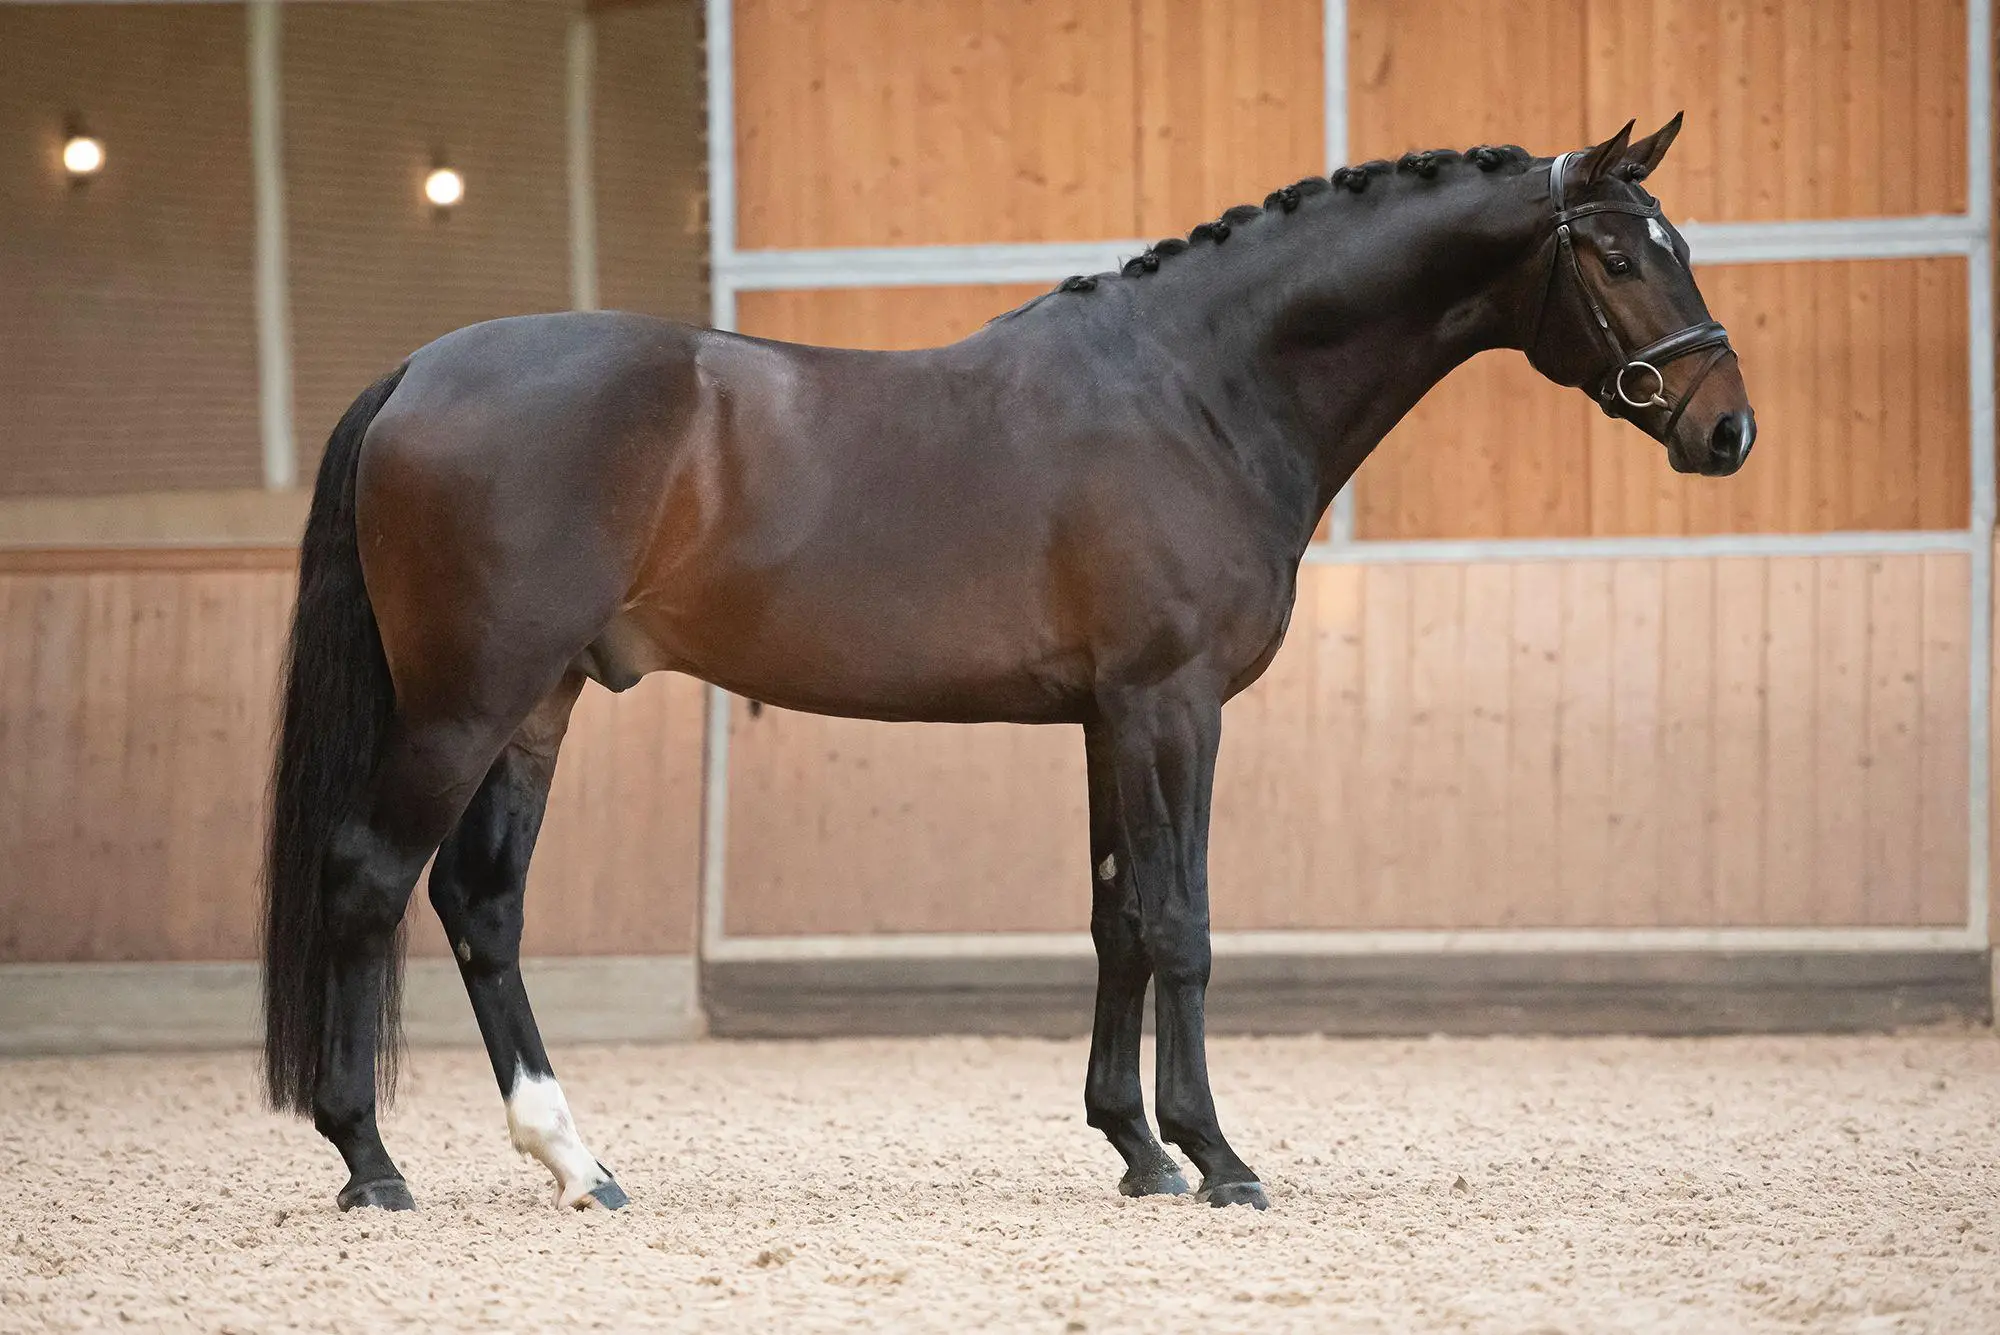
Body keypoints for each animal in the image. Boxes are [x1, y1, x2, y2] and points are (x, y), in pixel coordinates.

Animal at [263, 115, 1754, 1213]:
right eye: (1619, 256)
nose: (1725, 429)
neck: (1196, 392)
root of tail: (416, 371)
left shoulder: (1107, 719)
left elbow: (1116, 919)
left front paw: (1137, 1152)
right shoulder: (1171, 706)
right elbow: (1181, 921)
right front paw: (1218, 1159)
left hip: (538, 704)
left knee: (482, 903)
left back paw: (577, 1161)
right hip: (468, 703)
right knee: (371, 877)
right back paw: (371, 1162)